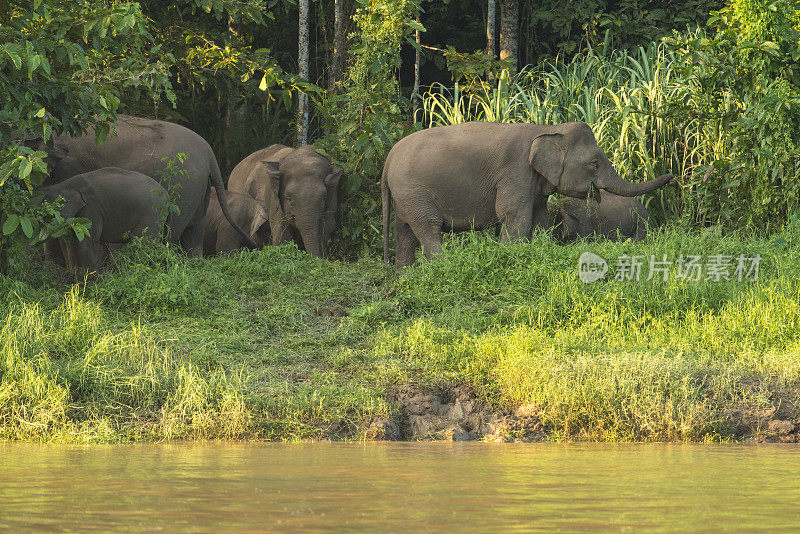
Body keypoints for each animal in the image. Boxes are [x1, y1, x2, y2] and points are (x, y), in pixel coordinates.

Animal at [34, 114, 252, 256]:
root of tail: (209, 154)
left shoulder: (71, 168)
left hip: (185, 188)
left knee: (170, 236)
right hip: (200, 190)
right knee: (194, 234)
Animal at [384, 123, 672, 270]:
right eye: (594, 163)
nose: (672, 177)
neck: (547, 129)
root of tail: (388, 158)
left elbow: (540, 217)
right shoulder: (516, 170)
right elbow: (514, 214)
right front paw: (510, 259)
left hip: (404, 196)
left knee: (404, 232)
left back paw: (405, 276)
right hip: (414, 192)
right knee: (428, 229)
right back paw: (444, 269)